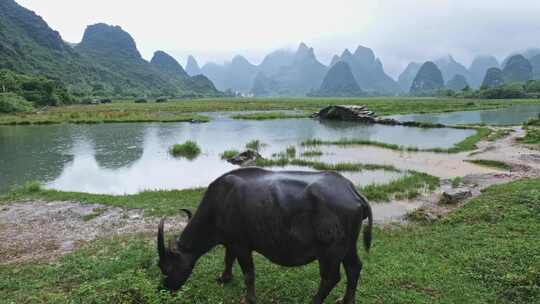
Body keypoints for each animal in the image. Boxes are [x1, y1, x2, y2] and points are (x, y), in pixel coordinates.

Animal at [158, 167, 374, 302]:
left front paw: (249, 298)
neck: (219, 203)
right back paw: (346, 300)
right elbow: (228, 259)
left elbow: (248, 274)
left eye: (166, 267)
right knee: (354, 267)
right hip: (348, 246)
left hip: (329, 251)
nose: (164, 289)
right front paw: (224, 278)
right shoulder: (231, 242)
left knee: (331, 277)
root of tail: (352, 191)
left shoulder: (242, 245)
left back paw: (315, 300)